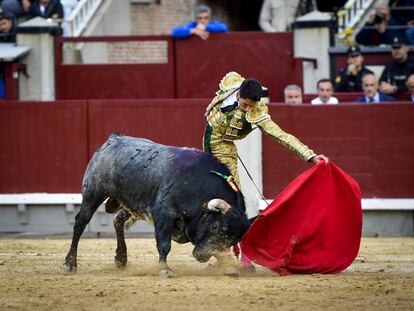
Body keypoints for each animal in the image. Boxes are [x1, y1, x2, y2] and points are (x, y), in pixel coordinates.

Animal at [63, 133, 251, 276]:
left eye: (233, 239)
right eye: (215, 227)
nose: (201, 256)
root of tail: (113, 138)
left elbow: (222, 253)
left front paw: (230, 267)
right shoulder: (163, 214)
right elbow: (164, 244)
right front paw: (164, 270)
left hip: (132, 203)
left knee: (118, 219)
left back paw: (121, 258)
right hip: (93, 192)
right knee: (80, 222)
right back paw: (70, 264)